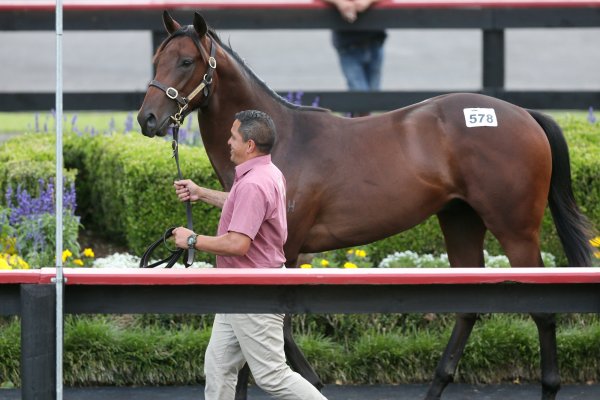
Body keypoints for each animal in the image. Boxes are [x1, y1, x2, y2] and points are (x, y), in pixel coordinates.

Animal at [138, 10, 592, 398]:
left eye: (185, 62)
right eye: (156, 60)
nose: (147, 119)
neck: (282, 142)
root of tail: (525, 114)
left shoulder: (283, 252)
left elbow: (274, 337)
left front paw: (312, 381)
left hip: (516, 230)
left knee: (542, 310)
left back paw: (549, 386)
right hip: (460, 219)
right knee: (469, 308)